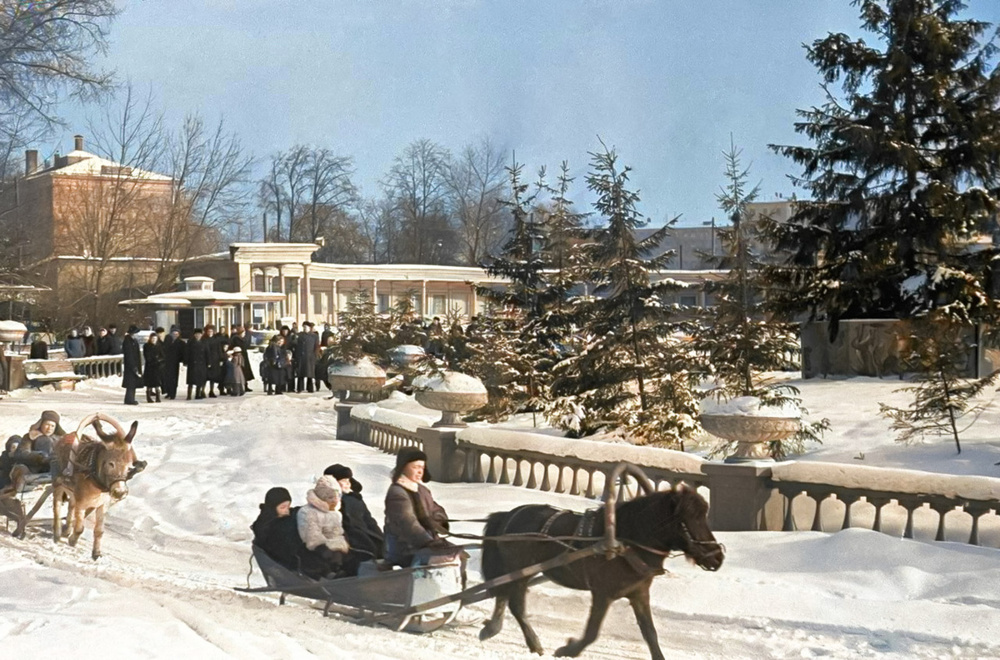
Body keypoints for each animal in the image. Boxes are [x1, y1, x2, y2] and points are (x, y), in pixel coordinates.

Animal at [53, 416, 144, 560]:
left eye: (129, 465)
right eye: (111, 463)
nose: (120, 493)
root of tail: (67, 435)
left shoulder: (102, 504)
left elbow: (99, 530)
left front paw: (96, 552)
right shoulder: (82, 503)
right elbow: (79, 528)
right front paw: (72, 540)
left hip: (72, 493)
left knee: (70, 508)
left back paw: (66, 530)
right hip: (58, 485)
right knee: (56, 507)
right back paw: (57, 533)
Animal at [478, 480, 724, 660]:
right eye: (687, 520)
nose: (718, 557)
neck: (626, 542)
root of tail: (509, 515)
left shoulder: (639, 593)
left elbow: (650, 633)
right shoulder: (603, 593)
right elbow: (592, 632)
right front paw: (568, 649)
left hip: (517, 571)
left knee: (503, 594)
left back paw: (493, 628)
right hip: (520, 571)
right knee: (516, 605)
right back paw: (533, 642)